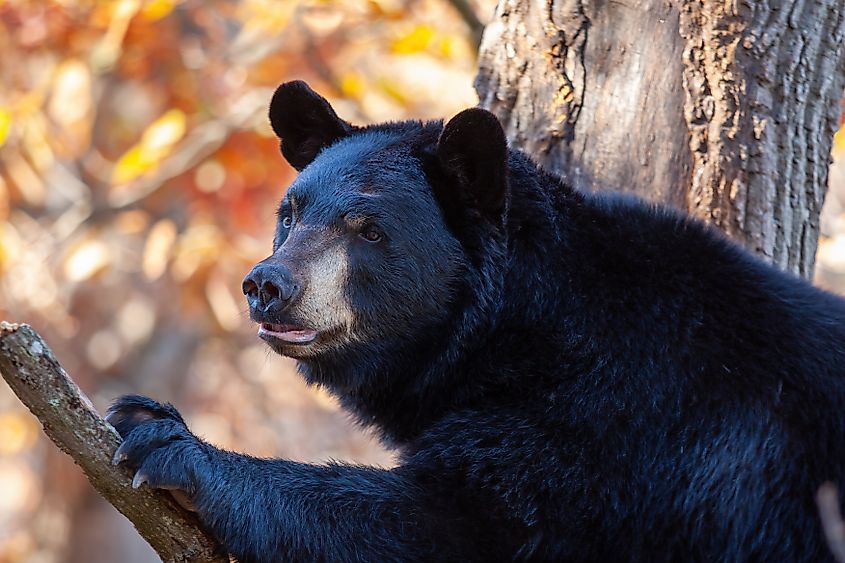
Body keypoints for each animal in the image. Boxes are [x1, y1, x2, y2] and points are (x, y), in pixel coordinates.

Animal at [105, 80, 844, 563]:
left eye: (368, 228)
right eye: (290, 213)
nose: (267, 284)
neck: (518, 330)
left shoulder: (619, 425)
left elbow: (456, 523)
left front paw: (164, 439)